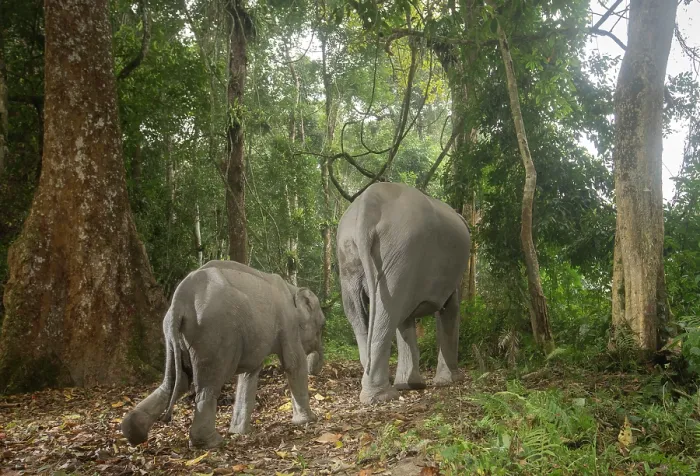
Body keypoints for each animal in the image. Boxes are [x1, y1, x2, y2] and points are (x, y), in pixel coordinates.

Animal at [121, 260, 325, 449]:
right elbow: (294, 364)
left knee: (174, 382)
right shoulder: (288, 323)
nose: (315, 369)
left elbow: (249, 374)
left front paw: (239, 432)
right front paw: (308, 420)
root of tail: (180, 299)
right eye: (322, 325)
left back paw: (132, 431)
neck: (293, 289)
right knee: (207, 386)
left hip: (174, 336)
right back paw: (211, 442)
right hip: (214, 335)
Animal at [336, 182, 470, 404]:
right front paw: (449, 380)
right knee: (388, 314)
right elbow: (449, 309)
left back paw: (378, 389)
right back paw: (383, 395)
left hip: (351, 255)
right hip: (401, 252)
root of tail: (367, 205)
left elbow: (407, 320)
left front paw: (412, 385)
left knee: (359, 313)